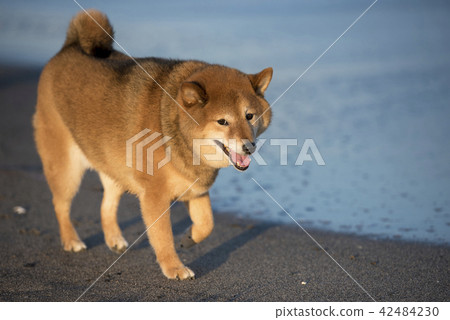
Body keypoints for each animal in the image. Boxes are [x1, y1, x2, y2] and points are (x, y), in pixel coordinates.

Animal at [33, 10, 272, 280]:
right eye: (223, 121)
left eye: (249, 116)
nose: (249, 146)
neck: (176, 130)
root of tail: (69, 47)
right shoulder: (155, 196)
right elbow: (163, 237)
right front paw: (174, 268)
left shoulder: (196, 189)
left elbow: (207, 224)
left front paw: (189, 238)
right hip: (66, 168)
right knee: (60, 205)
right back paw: (71, 240)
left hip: (115, 170)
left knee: (106, 206)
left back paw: (114, 239)